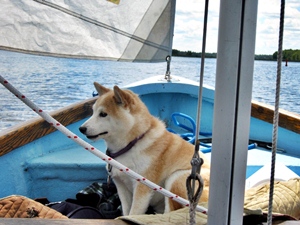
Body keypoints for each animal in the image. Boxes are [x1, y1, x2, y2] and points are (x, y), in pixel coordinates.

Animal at [79, 81, 211, 215]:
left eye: (103, 114)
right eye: (93, 112)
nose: (81, 128)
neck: (131, 144)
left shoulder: (142, 186)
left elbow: (134, 212)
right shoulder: (121, 185)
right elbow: (126, 210)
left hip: (177, 178)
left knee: (170, 211)